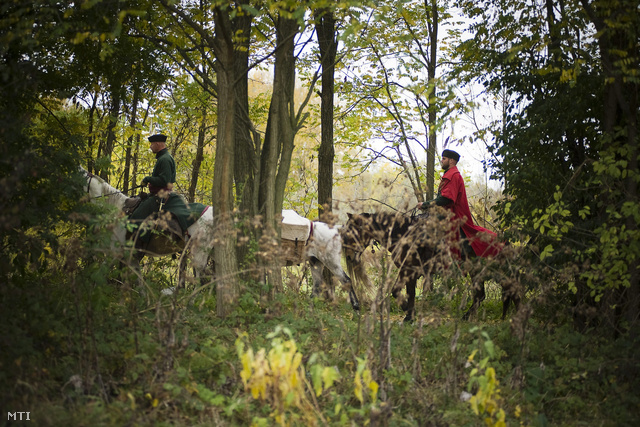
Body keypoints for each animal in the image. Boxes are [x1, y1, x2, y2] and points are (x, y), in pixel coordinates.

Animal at [80, 166, 360, 310]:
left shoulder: (119, 249)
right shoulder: (129, 253)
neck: (118, 209)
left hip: (330, 262)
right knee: (318, 285)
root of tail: (335, 229)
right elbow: (134, 275)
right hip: (315, 263)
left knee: (346, 281)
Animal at [340, 212, 520, 322]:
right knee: (483, 295)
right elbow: (400, 291)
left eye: (351, 232)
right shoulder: (406, 271)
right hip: (479, 273)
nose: (348, 256)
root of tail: (504, 241)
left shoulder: (410, 271)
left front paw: (408, 314)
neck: (403, 234)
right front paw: (408, 313)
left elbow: (405, 292)